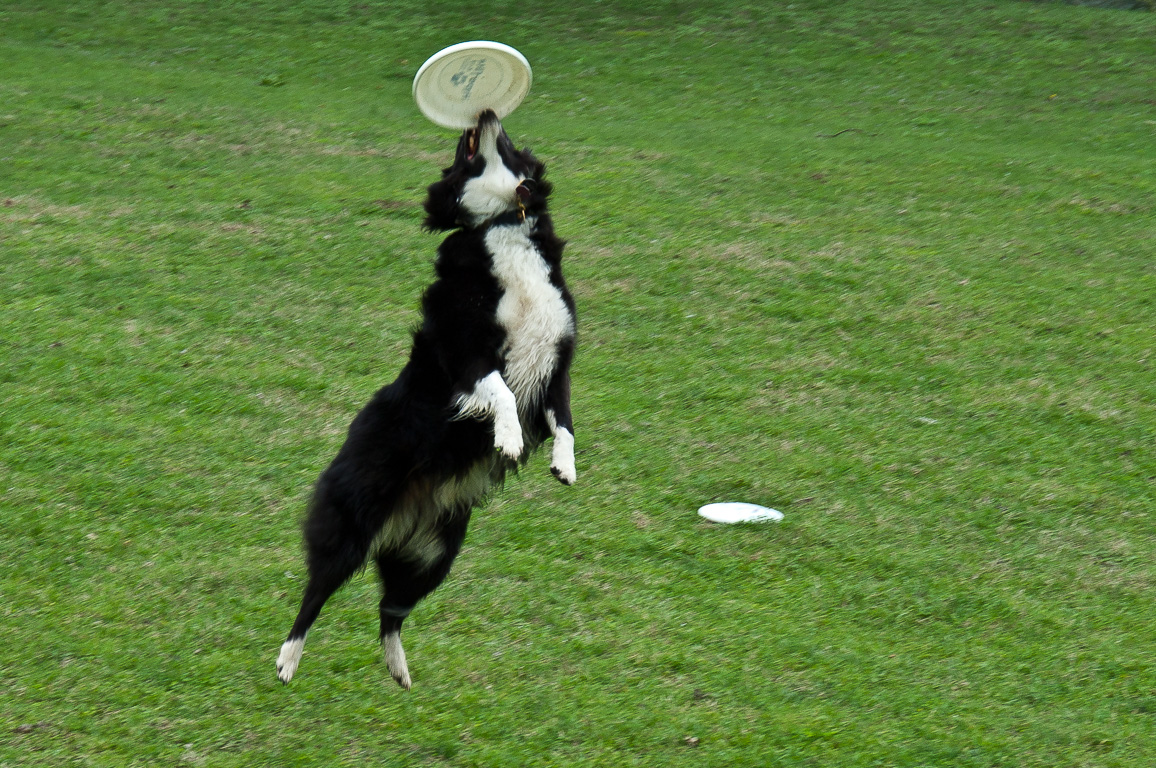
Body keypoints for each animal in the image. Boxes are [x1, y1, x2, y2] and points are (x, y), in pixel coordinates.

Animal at [271, 109, 578, 689]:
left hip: (436, 555)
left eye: (507, 140)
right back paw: (287, 659)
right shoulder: (465, 354)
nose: (485, 112)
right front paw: (508, 439)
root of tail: (403, 521)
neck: (502, 225)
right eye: (462, 155)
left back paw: (399, 670)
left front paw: (565, 465)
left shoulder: (556, 366)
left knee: (389, 612)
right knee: (315, 596)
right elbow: (502, 395)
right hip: (351, 529)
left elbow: (566, 423)